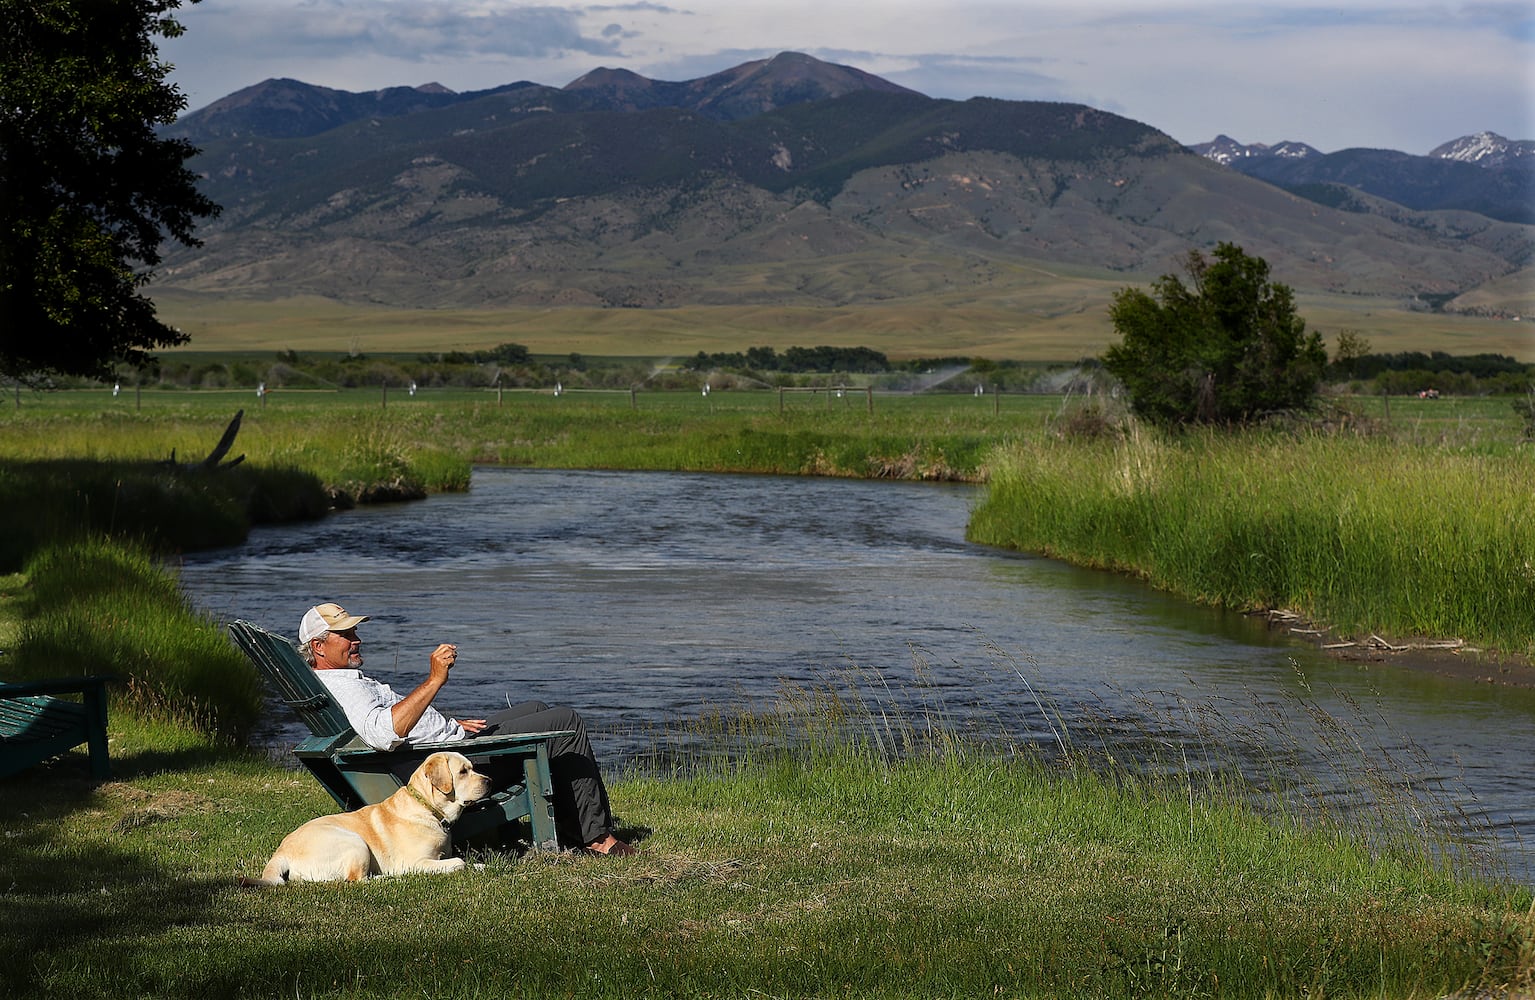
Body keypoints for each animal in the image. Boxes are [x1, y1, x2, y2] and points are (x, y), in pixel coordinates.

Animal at [244, 749, 491, 884]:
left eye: (472, 768)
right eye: (463, 772)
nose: (489, 781)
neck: (428, 809)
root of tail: (281, 851)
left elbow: (469, 862)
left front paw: (482, 867)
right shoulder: (416, 862)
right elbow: (459, 862)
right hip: (354, 841)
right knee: (356, 879)